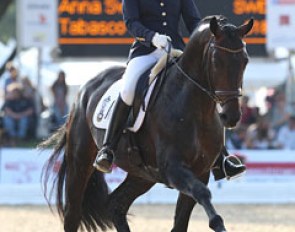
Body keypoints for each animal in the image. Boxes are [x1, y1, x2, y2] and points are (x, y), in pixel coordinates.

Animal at [41, 16, 254, 232]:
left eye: (245, 60)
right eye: (216, 61)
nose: (231, 116)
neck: (197, 111)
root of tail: (86, 88)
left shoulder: (200, 171)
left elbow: (182, 220)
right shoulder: (173, 168)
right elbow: (202, 193)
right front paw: (217, 223)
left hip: (142, 174)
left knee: (116, 204)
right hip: (80, 162)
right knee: (73, 212)